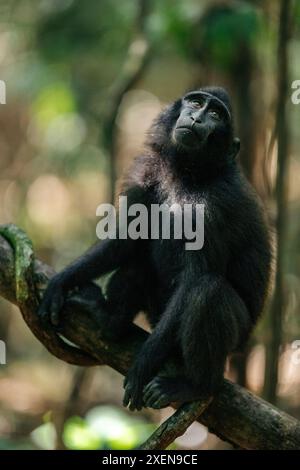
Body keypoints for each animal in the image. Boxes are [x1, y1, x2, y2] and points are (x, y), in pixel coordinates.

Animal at [38, 86, 272, 410]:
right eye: (196, 102)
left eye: (216, 114)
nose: (197, 118)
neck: (186, 174)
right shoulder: (145, 172)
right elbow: (125, 240)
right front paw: (61, 282)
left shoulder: (216, 207)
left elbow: (193, 279)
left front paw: (143, 366)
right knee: (138, 264)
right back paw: (108, 320)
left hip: (236, 339)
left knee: (207, 292)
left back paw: (196, 386)